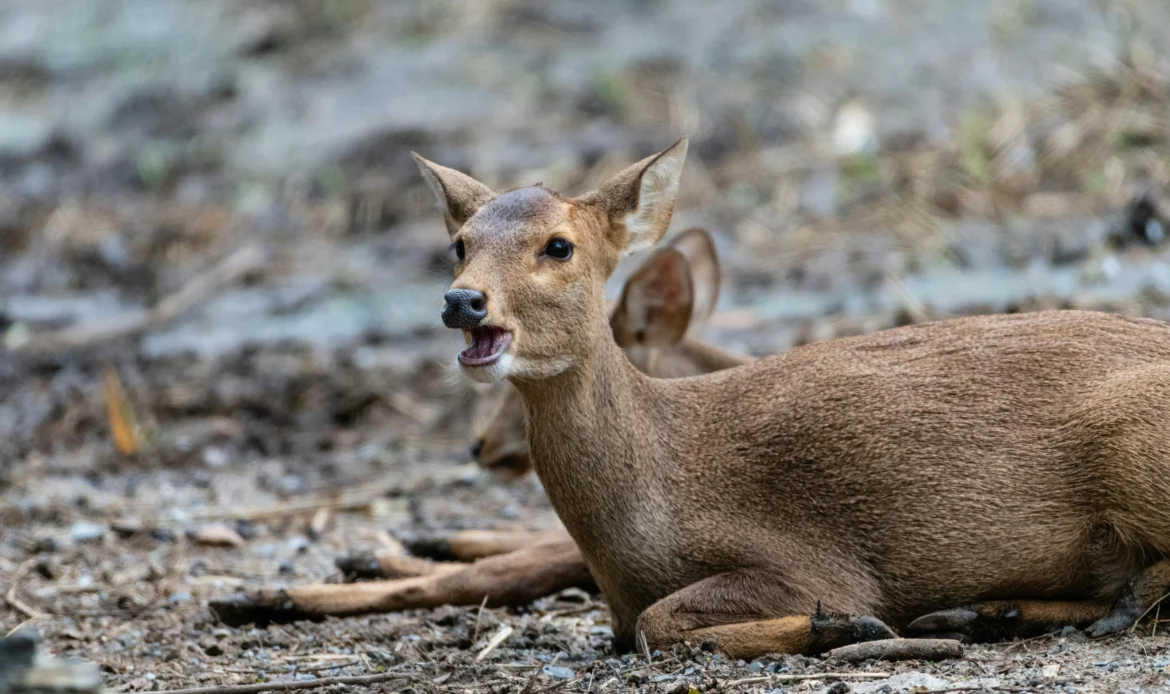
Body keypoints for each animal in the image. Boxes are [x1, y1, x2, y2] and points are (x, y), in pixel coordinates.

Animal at [403, 138, 1170, 659]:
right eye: (459, 244)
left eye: (559, 245)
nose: (462, 301)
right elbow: (645, 625)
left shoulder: (807, 559)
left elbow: (661, 623)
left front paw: (840, 623)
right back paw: (985, 614)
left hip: (1133, 440)